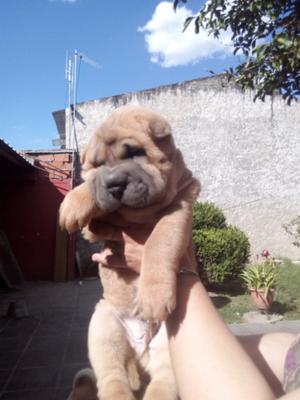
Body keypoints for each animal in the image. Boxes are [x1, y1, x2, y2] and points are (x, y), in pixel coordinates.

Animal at [59, 106, 200, 400]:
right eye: (98, 163)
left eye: (134, 152)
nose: (114, 183)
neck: (139, 215)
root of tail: (139, 351)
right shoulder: (95, 228)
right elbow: (91, 186)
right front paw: (73, 204)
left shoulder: (180, 206)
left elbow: (160, 241)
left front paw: (153, 297)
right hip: (103, 325)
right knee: (112, 376)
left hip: (171, 344)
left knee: (163, 381)